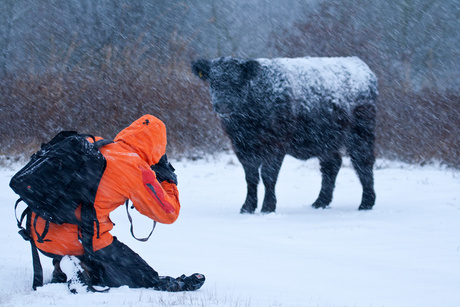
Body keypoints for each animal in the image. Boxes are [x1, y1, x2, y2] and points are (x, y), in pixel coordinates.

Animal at [192, 56, 376, 213]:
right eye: (213, 82)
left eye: (237, 81)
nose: (223, 105)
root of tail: (359, 64)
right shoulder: (242, 146)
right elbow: (251, 177)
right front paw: (247, 207)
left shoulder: (276, 144)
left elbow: (268, 175)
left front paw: (268, 207)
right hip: (326, 140)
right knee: (332, 165)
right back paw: (320, 202)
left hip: (361, 134)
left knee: (363, 163)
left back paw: (366, 203)